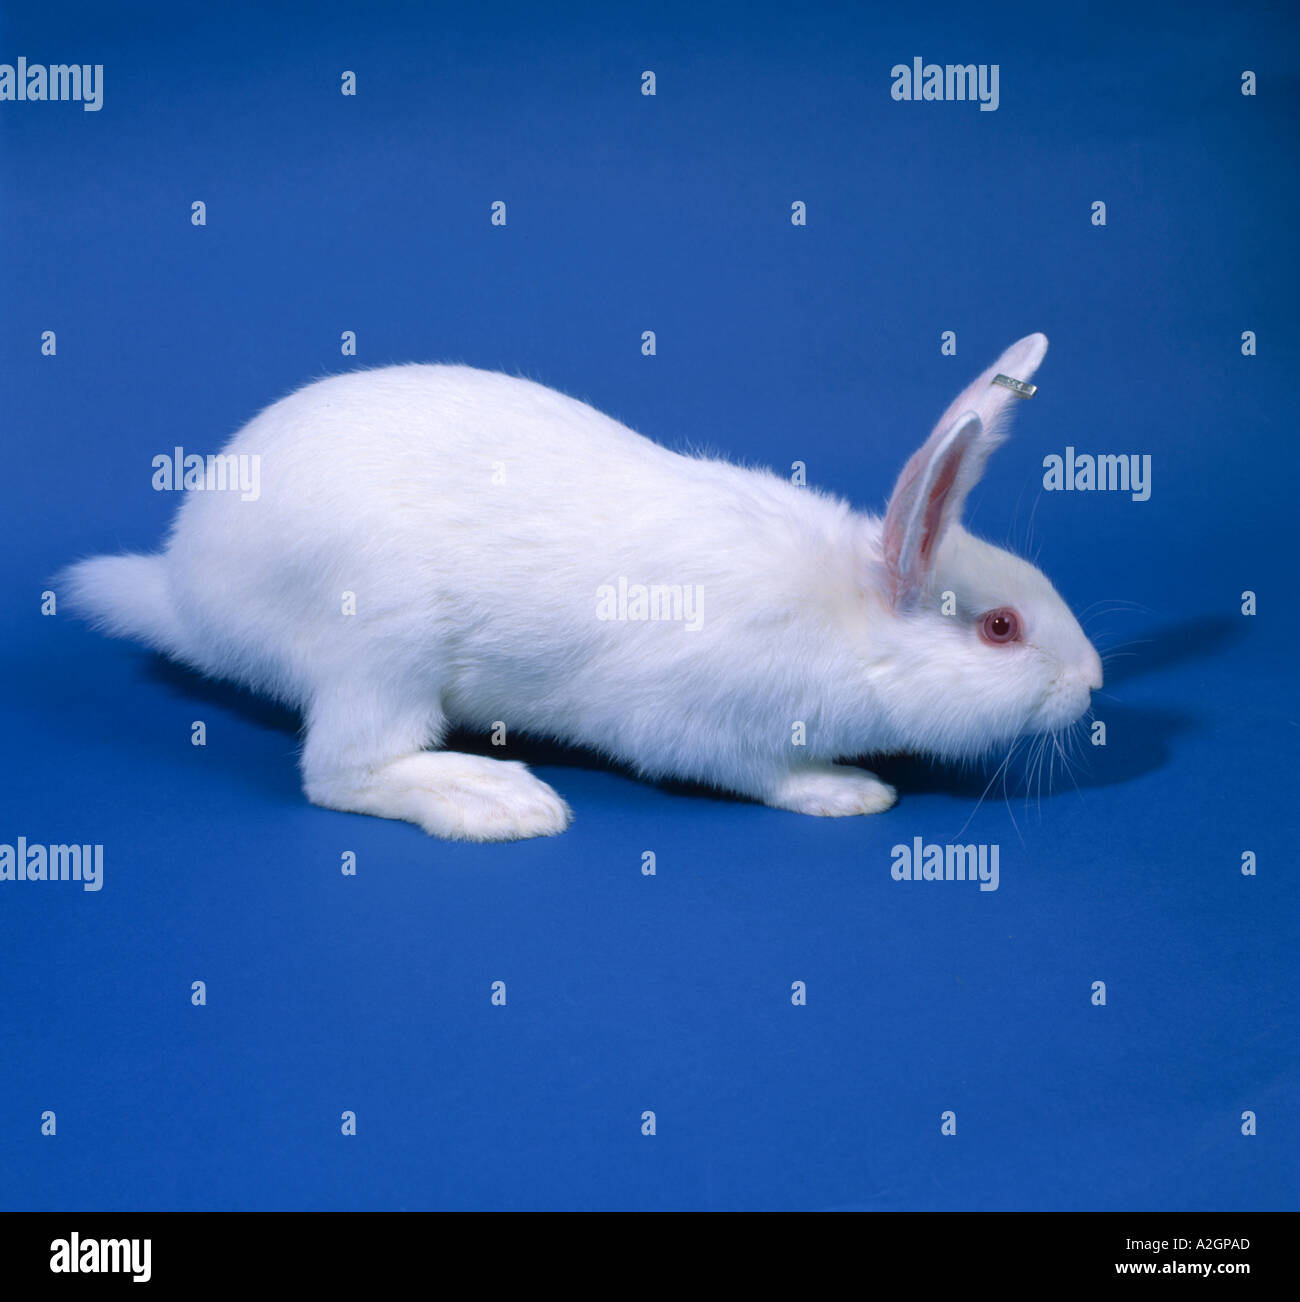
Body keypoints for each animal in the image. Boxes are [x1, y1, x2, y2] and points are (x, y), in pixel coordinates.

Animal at [60, 332, 1102, 842]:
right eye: (1001, 629)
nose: (1093, 683)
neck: (847, 619)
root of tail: (187, 588)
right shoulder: (699, 720)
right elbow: (758, 771)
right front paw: (844, 792)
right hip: (381, 645)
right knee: (341, 773)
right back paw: (496, 801)